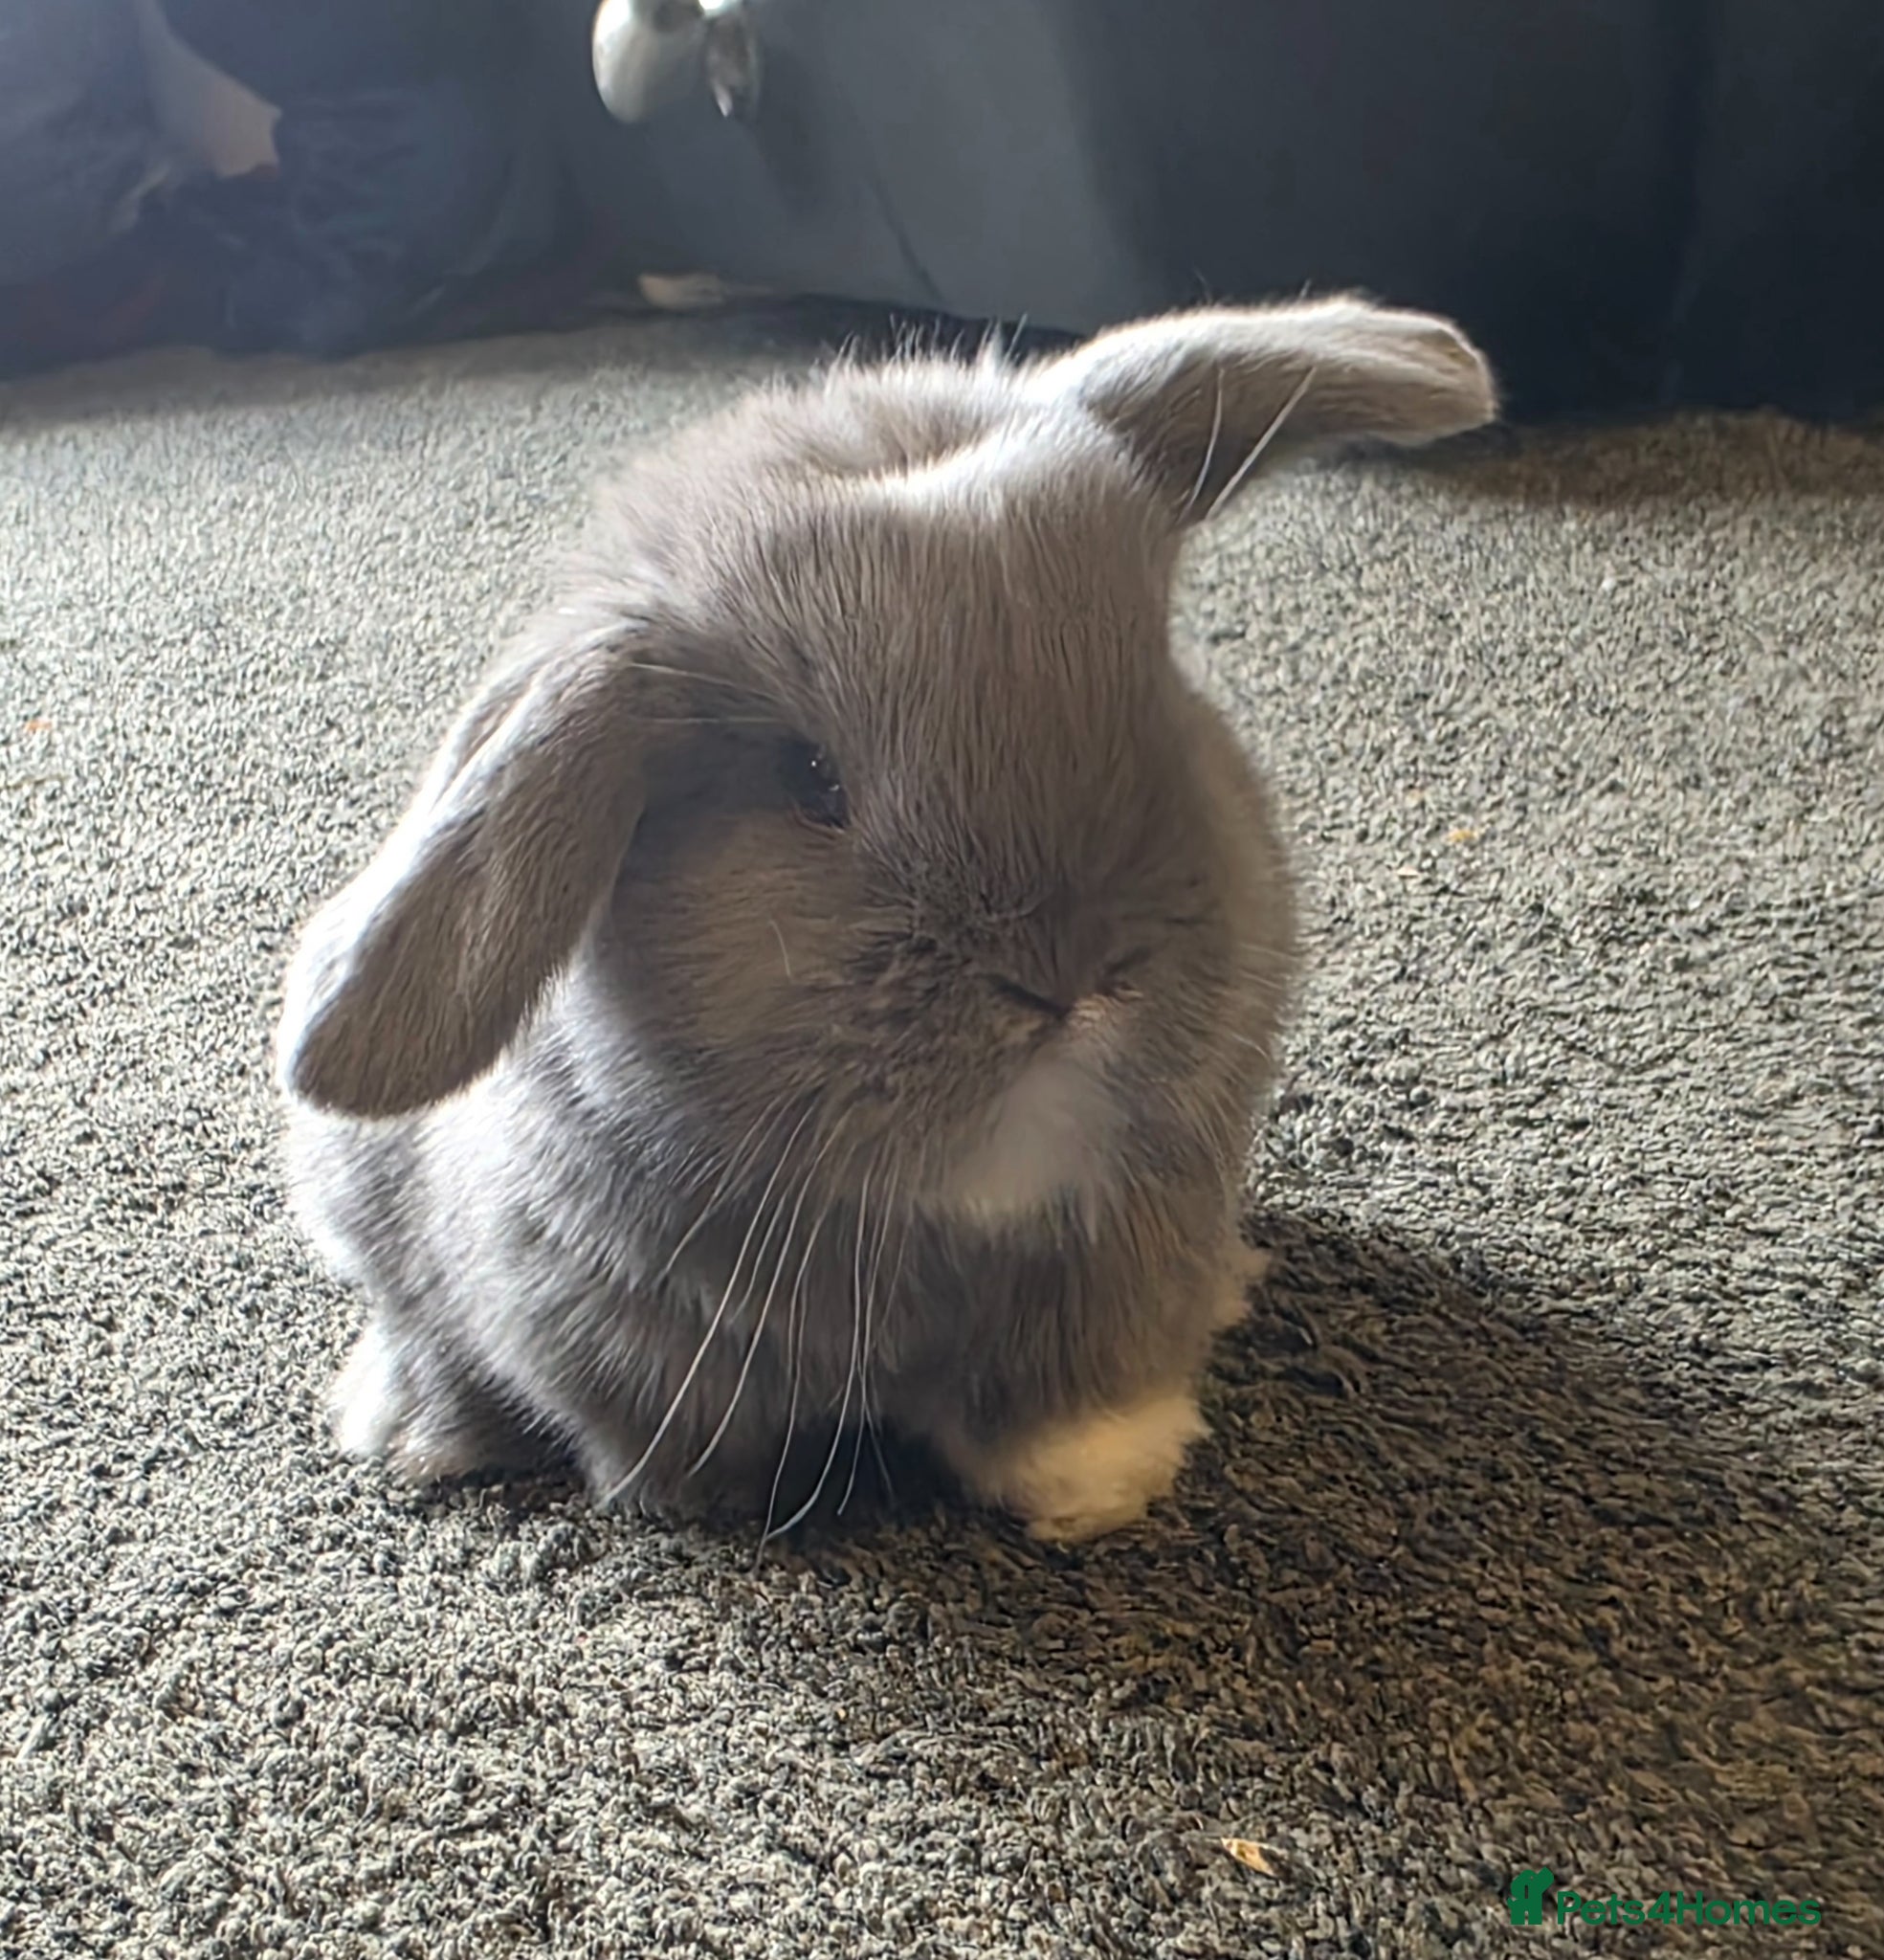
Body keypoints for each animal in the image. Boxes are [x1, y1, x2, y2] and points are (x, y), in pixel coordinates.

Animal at [277, 297, 1497, 1541]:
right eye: (808, 777)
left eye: (1160, 682)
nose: (1070, 976)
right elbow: (658, 1442)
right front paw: (718, 1497)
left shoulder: (1119, 1257)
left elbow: (1078, 1396)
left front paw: (1102, 1487)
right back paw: (412, 1428)